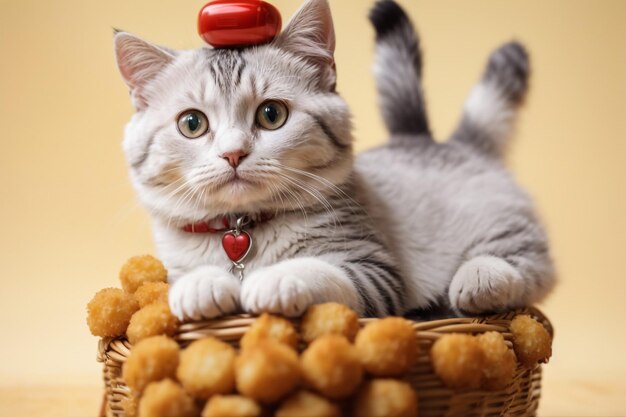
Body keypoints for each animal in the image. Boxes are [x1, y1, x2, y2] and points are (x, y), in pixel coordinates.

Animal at [112, 0, 552, 320]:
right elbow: (183, 277)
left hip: (500, 225)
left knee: (531, 264)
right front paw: (201, 284)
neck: (243, 227)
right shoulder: (172, 261)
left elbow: (322, 270)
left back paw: (480, 279)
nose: (233, 152)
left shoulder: (376, 270)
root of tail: (439, 142)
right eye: (192, 123)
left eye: (271, 114)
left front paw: (274, 279)